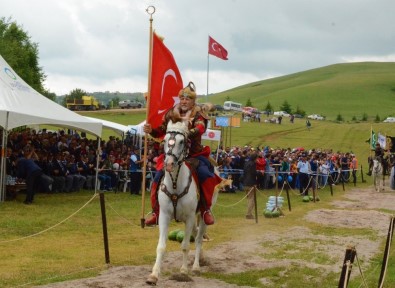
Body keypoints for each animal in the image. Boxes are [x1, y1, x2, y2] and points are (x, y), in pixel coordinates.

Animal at [146, 120, 220, 286]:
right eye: (165, 139)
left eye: (181, 141)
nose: (168, 164)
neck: (175, 183)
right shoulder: (164, 216)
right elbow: (161, 247)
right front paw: (153, 275)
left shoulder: (190, 217)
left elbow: (186, 245)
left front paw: (183, 271)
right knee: (196, 233)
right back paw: (202, 258)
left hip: (202, 214)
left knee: (198, 238)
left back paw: (196, 266)